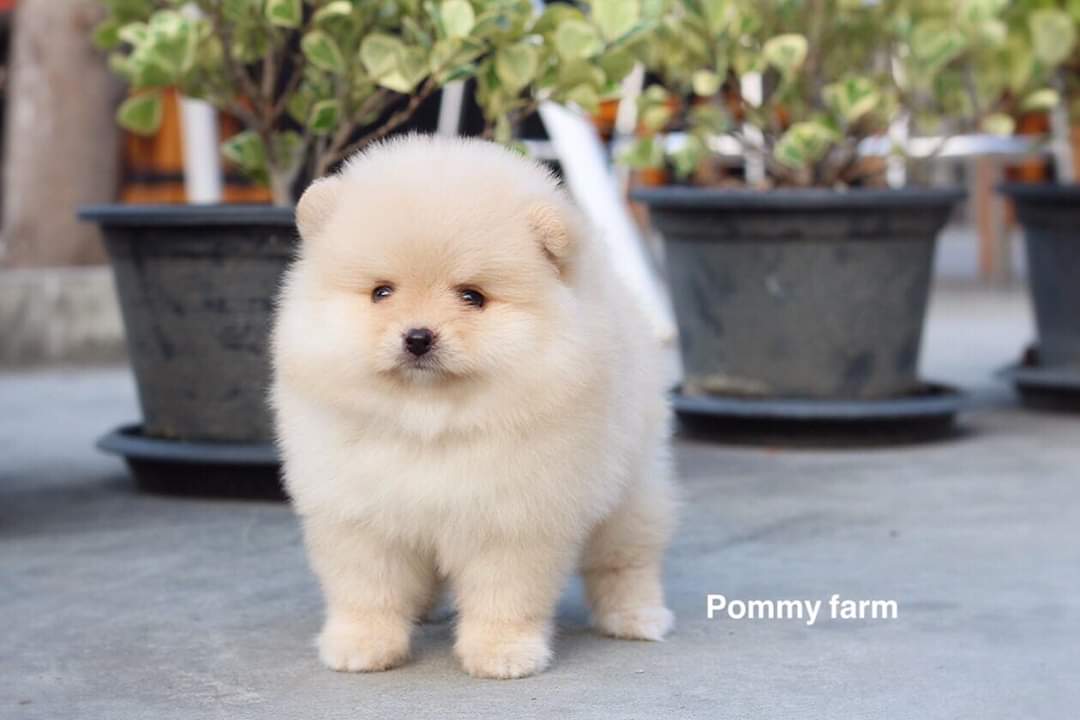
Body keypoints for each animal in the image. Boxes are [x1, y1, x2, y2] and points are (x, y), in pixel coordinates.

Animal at [271, 135, 675, 679]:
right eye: (381, 292)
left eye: (472, 297)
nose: (418, 337)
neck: (429, 424)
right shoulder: (362, 516)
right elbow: (367, 590)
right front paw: (362, 645)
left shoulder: (511, 520)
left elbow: (505, 596)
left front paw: (502, 652)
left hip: (632, 488)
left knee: (625, 559)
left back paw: (636, 616)